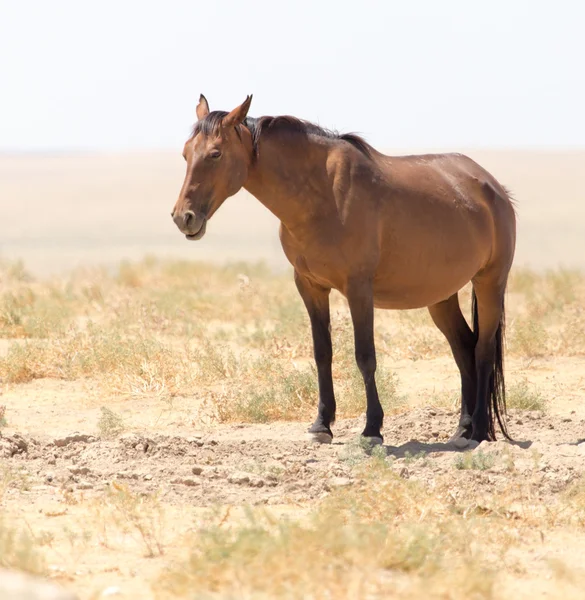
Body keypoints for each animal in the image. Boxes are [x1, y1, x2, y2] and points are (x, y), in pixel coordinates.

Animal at [170, 95, 516, 446]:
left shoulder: (358, 289)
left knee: (483, 349)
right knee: (463, 348)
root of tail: (492, 187)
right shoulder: (310, 286)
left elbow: (365, 356)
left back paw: (478, 430)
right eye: (185, 153)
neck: (323, 196)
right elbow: (322, 353)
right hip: (441, 296)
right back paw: (463, 428)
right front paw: (322, 424)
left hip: (490, 282)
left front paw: (372, 428)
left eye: (215, 153)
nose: (183, 217)